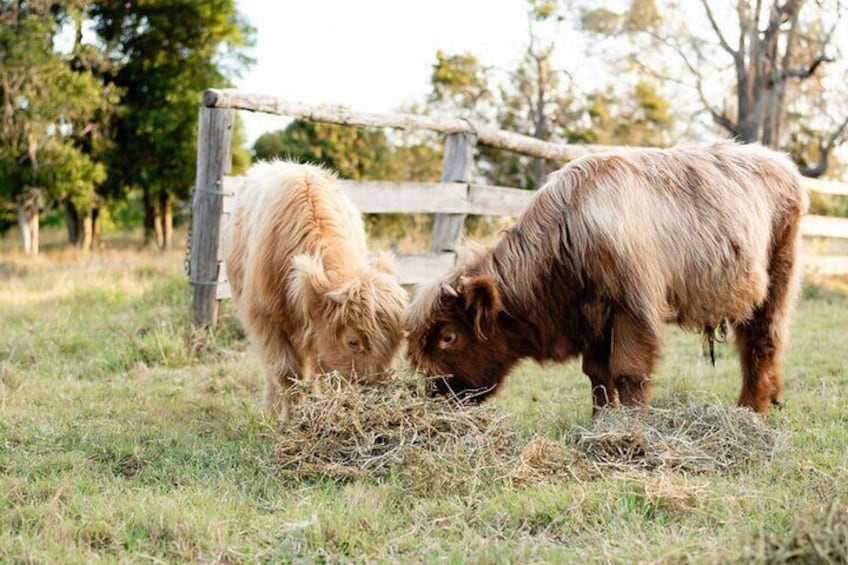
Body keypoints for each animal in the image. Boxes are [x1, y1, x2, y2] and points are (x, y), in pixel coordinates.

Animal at [222, 160, 408, 418]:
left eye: (396, 343)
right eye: (352, 341)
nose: (371, 394)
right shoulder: (265, 321)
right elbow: (286, 372)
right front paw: (291, 417)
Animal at [408, 141, 804, 414]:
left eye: (448, 336)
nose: (434, 394)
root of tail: (781, 163)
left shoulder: (633, 309)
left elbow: (628, 372)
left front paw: (631, 428)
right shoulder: (591, 316)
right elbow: (597, 373)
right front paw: (601, 420)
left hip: (776, 282)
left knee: (761, 344)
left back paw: (751, 410)